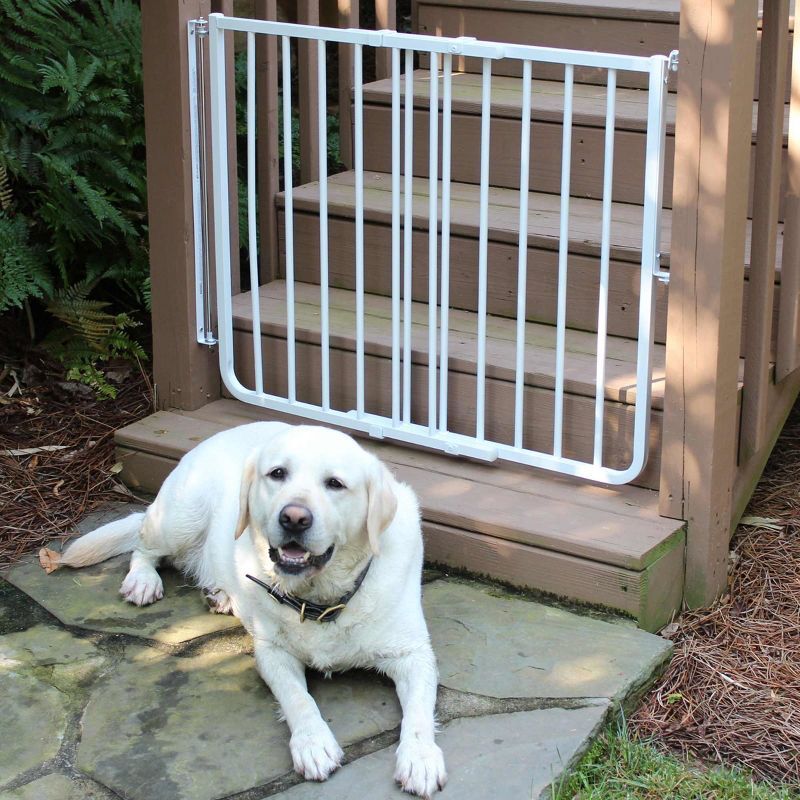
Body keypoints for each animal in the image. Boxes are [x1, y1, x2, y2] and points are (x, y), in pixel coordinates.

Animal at [40, 422, 446, 796]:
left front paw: (420, 757)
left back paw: (220, 594)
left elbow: (419, 714)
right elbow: (299, 699)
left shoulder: (414, 655)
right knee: (144, 548)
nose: (293, 518)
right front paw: (313, 743)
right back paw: (143, 581)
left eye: (335, 483)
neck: (319, 600)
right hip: (180, 517)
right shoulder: (272, 653)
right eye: (277, 474)